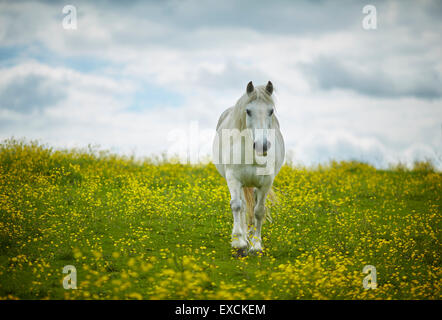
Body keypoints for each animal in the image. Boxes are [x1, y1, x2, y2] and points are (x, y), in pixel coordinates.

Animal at [212, 81, 284, 256]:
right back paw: (244, 238)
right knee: (243, 207)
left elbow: (259, 211)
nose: (261, 145)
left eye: (271, 111)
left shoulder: (265, 183)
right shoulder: (233, 179)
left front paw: (256, 245)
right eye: (248, 111)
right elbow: (237, 206)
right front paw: (239, 243)